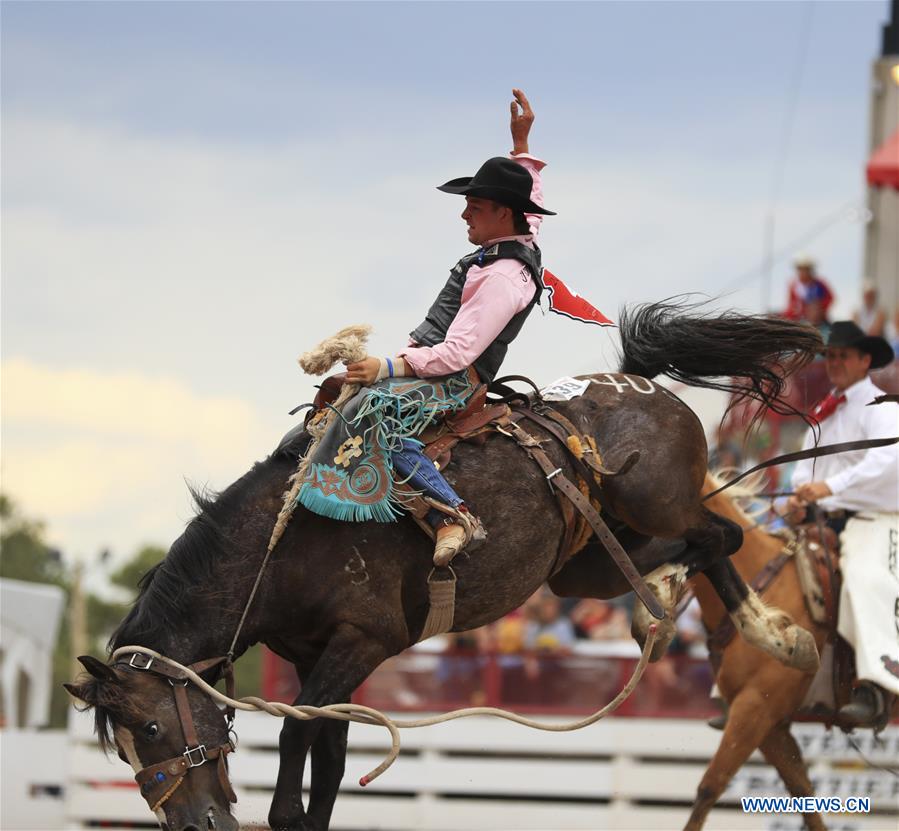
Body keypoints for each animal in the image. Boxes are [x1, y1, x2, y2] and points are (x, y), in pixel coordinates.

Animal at [67, 304, 828, 831]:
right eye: (126, 751)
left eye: (154, 729)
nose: (192, 822)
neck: (279, 548)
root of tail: (635, 382)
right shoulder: (325, 657)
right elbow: (330, 755)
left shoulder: (359, 643)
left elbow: (298, 736)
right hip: (588, 563)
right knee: (693, 549)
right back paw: (684, 613)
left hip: (659, 502)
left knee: (722, 533)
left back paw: (768, 632)